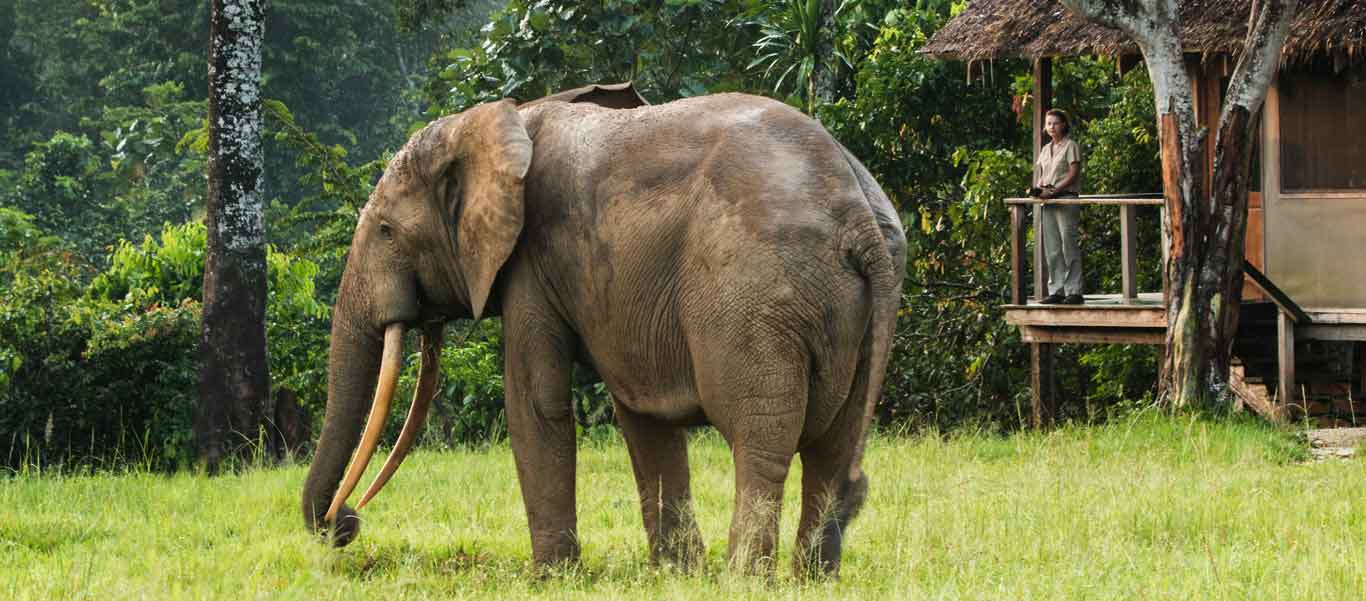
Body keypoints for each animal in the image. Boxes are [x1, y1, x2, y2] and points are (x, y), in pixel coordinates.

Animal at [304, 82, 912, 576]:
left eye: (385, 231)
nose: (344, 523)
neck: (503, 120)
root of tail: (858, 215)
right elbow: (643, 417)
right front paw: (676, 575)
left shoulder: (531, 262)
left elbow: (535, 403)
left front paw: (552, 579)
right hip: (853, 309)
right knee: (833, 448)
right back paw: (811, 580)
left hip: (756, 297)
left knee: (759, 440)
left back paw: (745, 581)